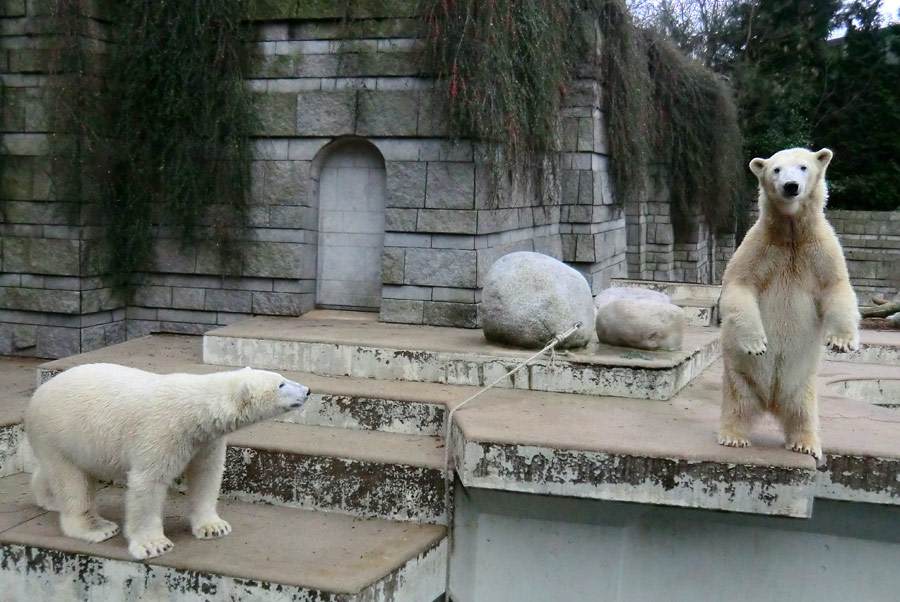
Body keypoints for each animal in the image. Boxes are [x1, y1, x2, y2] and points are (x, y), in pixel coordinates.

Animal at [24, 360, 310, 556]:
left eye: (282, 377)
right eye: (281, 384)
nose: (307, 390)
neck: (195, 409)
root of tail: (38, 393)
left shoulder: (205, 440)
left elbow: (206, 474)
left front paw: (213, 527)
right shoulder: (161, 432)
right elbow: (148, 482)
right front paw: (153, 544)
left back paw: (49, 499)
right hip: (59, 432)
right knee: (71, 481)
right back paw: (96, 527)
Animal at [716, 146, 856, 460]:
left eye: (803, 167)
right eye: (776, 169)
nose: (791, 186)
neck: (792, 234)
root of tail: (770, 403)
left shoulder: (821, 248)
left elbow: (836, 286)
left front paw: (841, 342)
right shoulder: (759, 246)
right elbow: (739, 285)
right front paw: (756, 343)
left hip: (803, 382)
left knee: (803, 410)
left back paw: (806, 443)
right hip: (738, 374)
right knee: (737, 402)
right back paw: (733, 436)